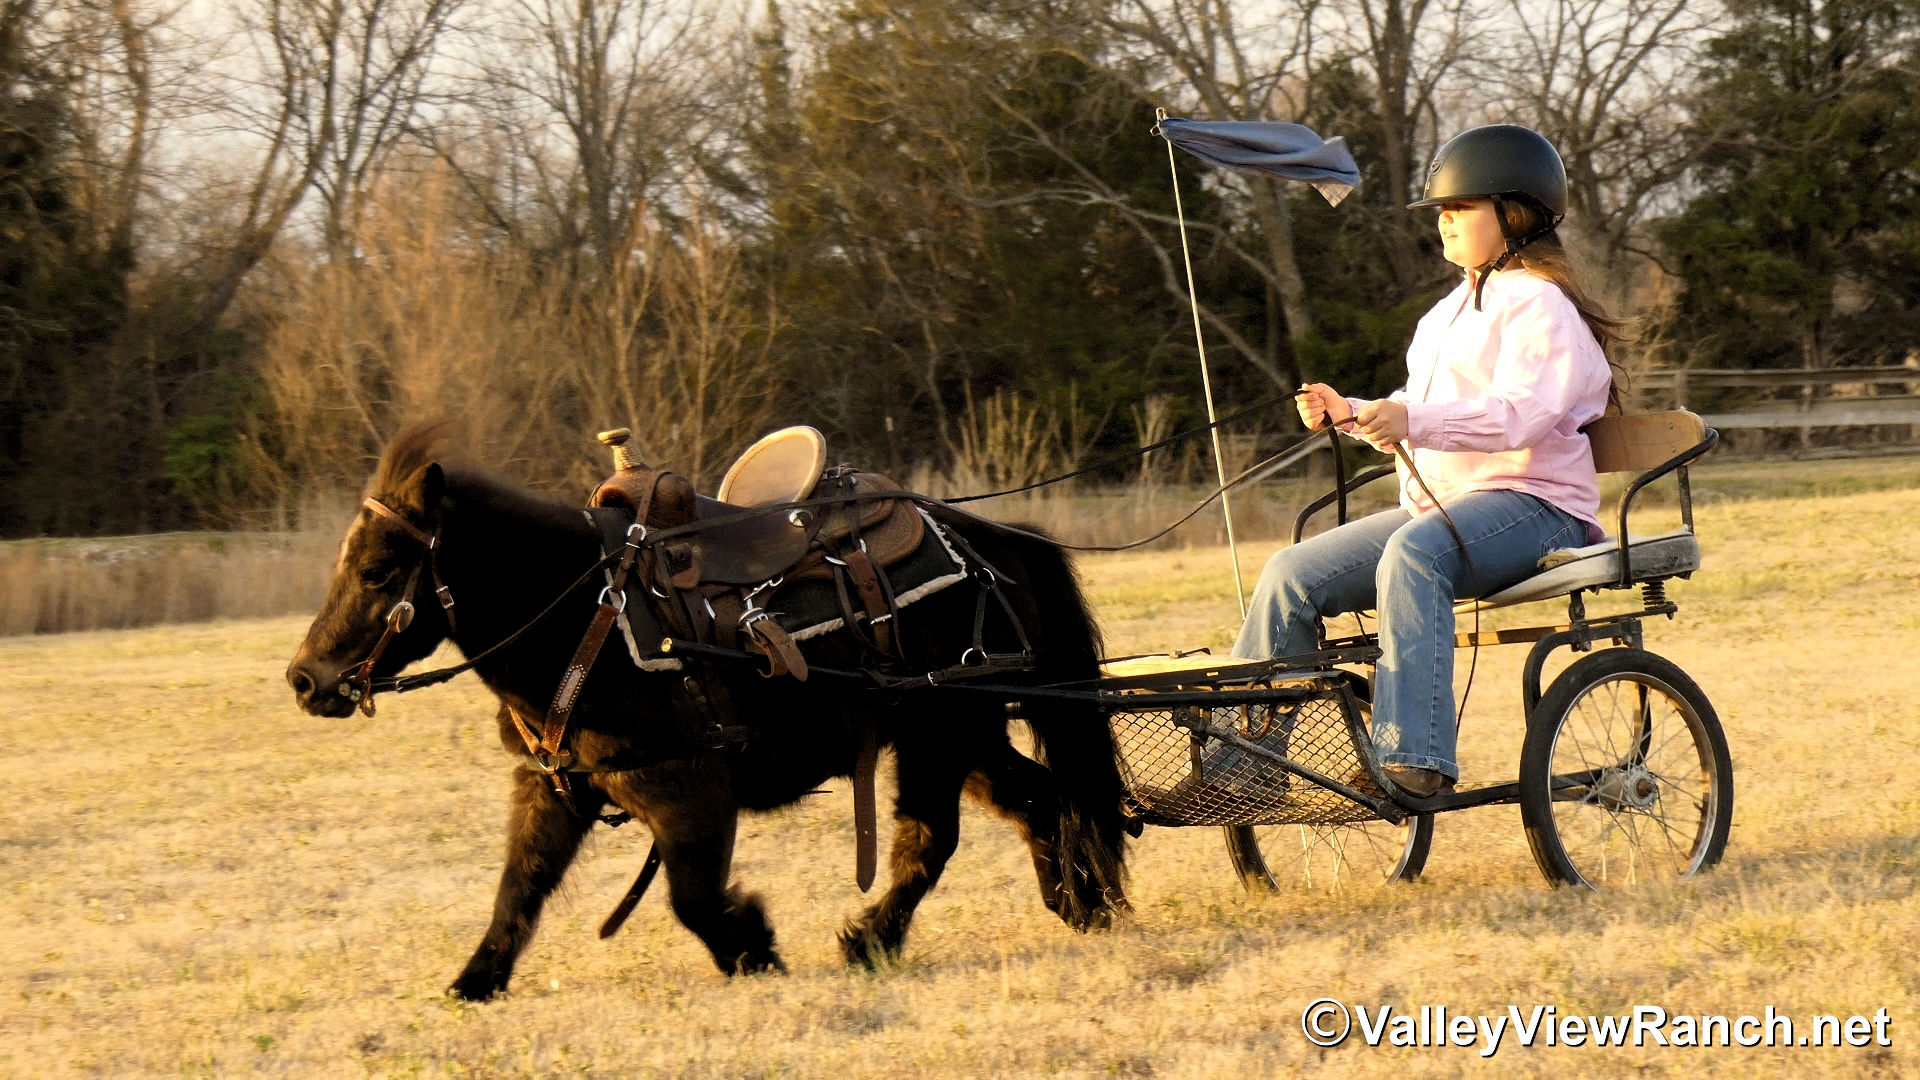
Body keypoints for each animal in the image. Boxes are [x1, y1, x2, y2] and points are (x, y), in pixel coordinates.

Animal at [285, 424, 1130, 999]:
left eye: (378, 570)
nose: (304, 679)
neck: (586, 622)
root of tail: (995, 541)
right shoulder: (552, 788)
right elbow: (517, 890)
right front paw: (475, 980)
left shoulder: (687, 791)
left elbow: (690, 899)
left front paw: (754, 947)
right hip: (965, 731)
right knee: (1043, 799)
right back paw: (1080, 904)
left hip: (937, 732)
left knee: (931, 840)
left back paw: (871, 941)